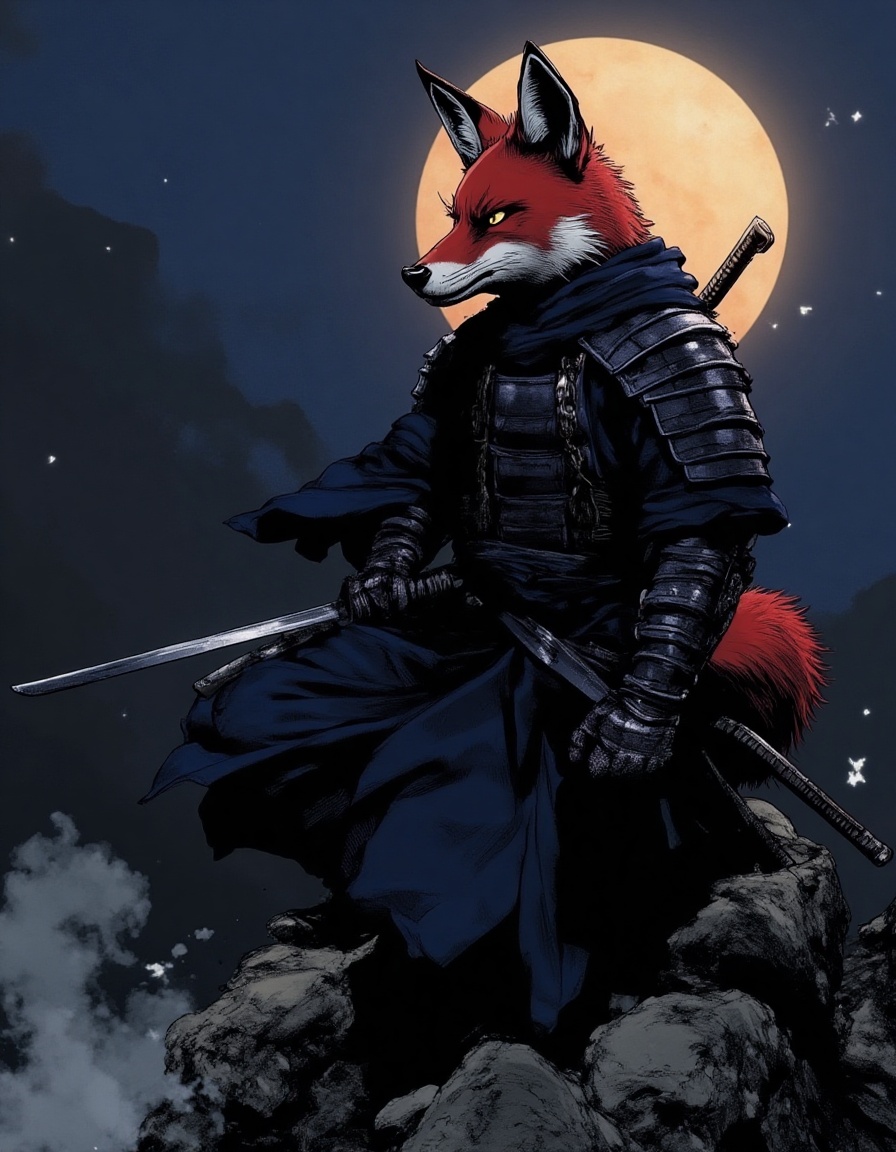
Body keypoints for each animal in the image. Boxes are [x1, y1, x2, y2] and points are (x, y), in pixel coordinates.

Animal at [405, 42, 827, 764]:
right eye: (453, 216)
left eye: (496, 217)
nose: (413, 273)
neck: (550, 325)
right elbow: (420, 476)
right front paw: (381, 587)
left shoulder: (685, 369)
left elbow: (697, 533)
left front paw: (633, 727)